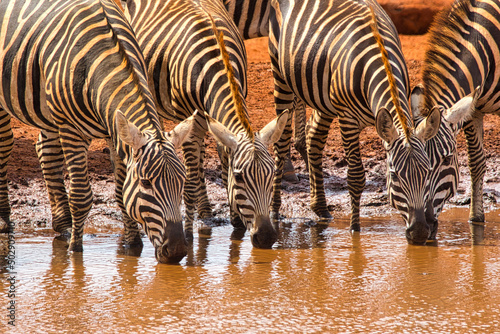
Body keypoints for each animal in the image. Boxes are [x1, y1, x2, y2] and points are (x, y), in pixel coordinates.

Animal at [0, 0, 196, 264]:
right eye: (145, 182)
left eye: (182, 181)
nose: (177, 252)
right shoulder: (72, 130)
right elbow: (81, 196)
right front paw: (75, 251)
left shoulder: (116, 133)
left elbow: (122, 193)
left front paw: (132, 245)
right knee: (5, 144)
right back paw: (4, 218)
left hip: (49, 110)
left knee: (45, 150)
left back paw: (63, 225)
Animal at [121, 0, 290, 248]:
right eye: (240, 177)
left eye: (271, 175)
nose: (267, 237)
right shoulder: (191, 122)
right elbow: (190, 185)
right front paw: (189, 236)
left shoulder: (222, 122)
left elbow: (223, 165)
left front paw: (236, 222)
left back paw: (206, 211)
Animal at [268, 0, 444, 244]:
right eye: (394, 176)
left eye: (427, 172)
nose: (419, 233)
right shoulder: (348, 119)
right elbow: (355, 177)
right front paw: (355, 231)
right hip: (281, 77)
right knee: (281, 143)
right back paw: (275, 210)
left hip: (323, 97)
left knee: (314, 137)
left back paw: (321, 208)